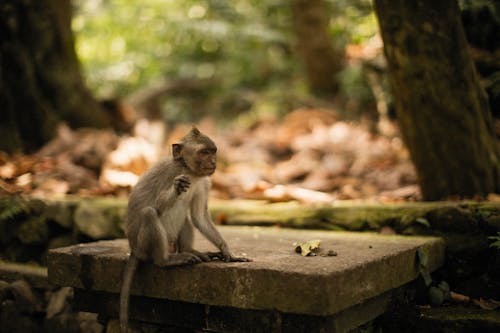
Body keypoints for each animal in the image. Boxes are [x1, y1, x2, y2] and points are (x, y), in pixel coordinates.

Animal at [119, 126, 248, 330]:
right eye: (204, 152)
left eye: (213, 152)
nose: (213, 162)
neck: (190, 171)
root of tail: (134, 249)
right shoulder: (172, 174)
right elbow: (157, 206)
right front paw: (177, 189)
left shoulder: (204, 182)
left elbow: (199, 217)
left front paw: (228, 252)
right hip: (143, 245)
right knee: (149, 213)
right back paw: (166, 260)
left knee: (186, 219)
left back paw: (190, 250)